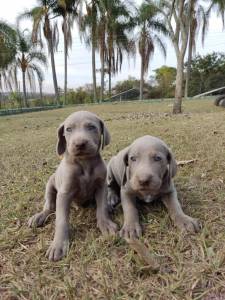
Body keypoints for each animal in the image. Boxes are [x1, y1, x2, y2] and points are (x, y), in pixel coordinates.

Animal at [27, 111, 118, 262]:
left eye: (91, 127)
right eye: (68, 129)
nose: (80, 144)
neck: (85, 163)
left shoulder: (101, 187)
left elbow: (101, 208)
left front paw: (105, 224)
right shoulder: (64, 193)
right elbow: (61, 220)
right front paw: (58, 244)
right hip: (50, 184)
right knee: (49, 206)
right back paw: (39, 216)